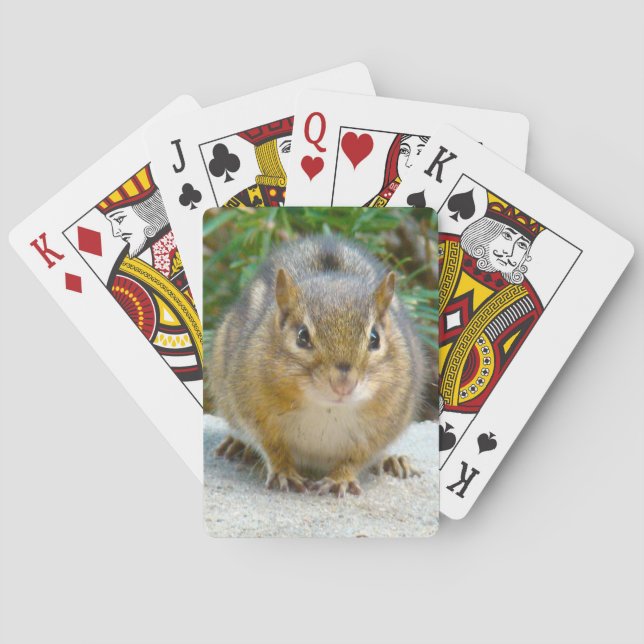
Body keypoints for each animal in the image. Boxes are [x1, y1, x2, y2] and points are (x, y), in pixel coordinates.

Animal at [209, 235, 427, 497]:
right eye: (302, 336)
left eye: (375, 338)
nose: (343, 385)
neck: (327, 408)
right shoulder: (254, 409)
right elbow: (272, 446)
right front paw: (284, 472)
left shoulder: (384, 425)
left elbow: (357, 457)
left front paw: (340, 479)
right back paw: (237, 444)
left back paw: (392, 461)